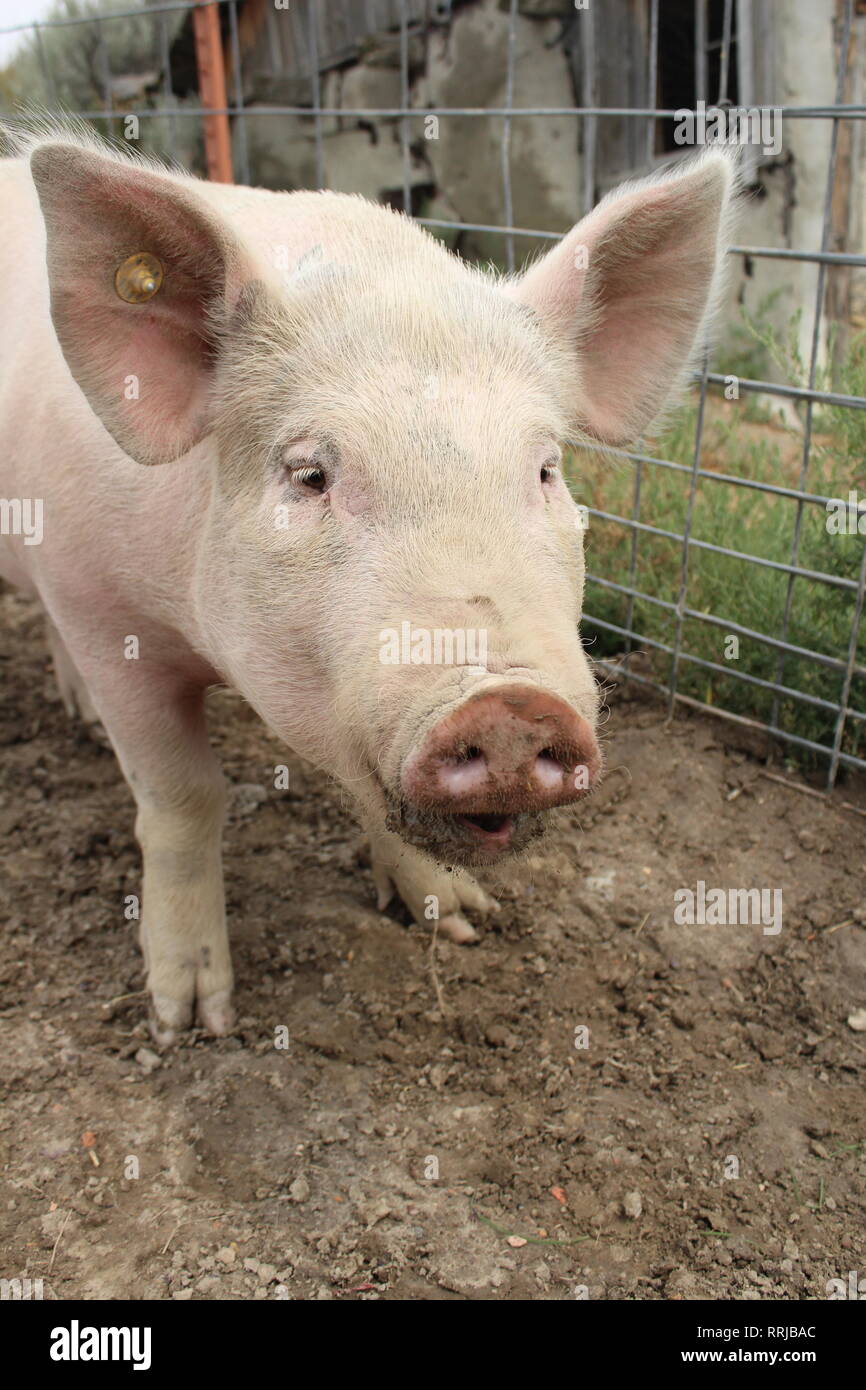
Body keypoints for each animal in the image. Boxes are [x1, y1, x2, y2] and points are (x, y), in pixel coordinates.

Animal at [0, 125, 733, 1045]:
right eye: (310, 474)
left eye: (546, 469)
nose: (509, 706)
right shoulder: (100, 609)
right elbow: (180, 796)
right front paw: (192, 1022)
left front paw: (463, 922)